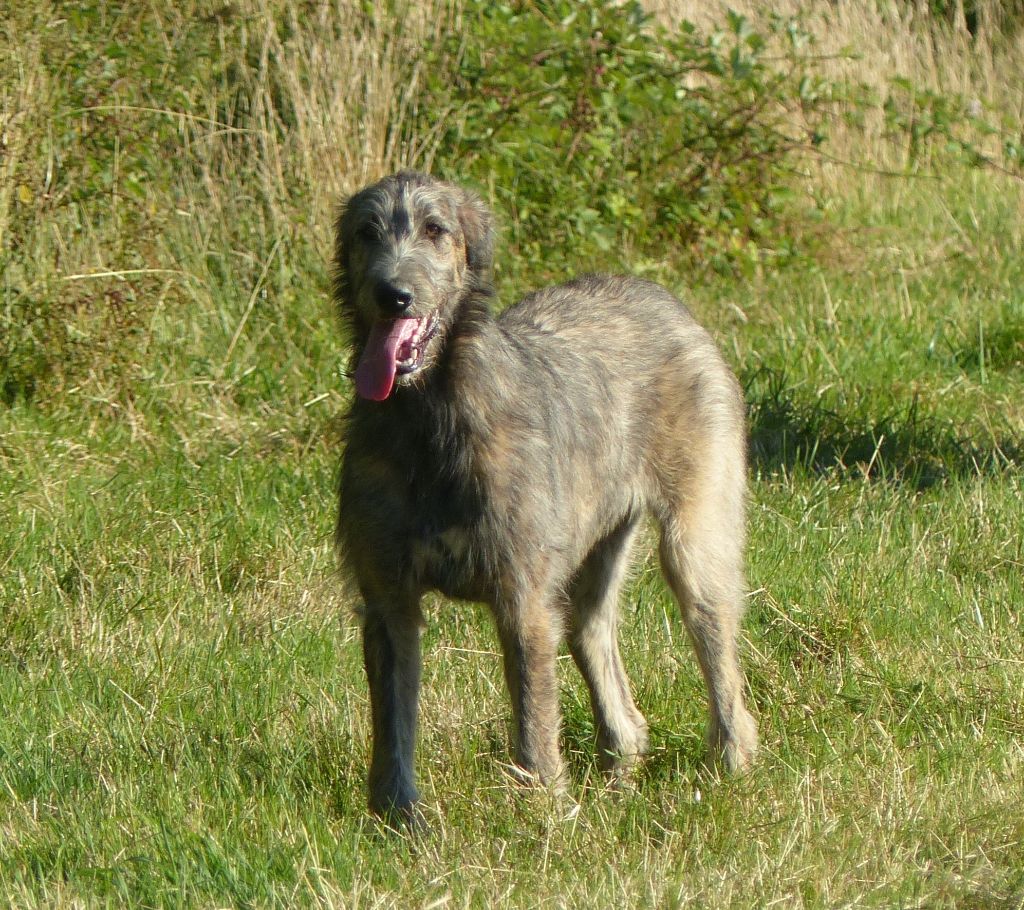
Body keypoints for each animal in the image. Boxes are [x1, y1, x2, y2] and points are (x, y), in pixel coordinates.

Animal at [335, 168, 761, 814]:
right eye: (367, 232)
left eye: (435, 230)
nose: (394, 295)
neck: (431, 420)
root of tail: (659, 296)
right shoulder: (388, 600)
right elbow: (393, 724)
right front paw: (397, 819)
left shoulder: (523, 596)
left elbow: (534, 716)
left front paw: (543, 813)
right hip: (596, 551)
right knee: (595, 638)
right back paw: (621, 766)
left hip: (695, 545)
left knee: (719, 659)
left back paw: (731, 769)